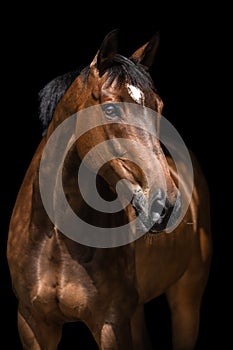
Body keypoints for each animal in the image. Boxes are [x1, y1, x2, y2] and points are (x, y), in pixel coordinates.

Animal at [7, 30, 212, 350]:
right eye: (111, 108)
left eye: (159, 106)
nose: (166, 207)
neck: (55, 237)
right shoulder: (33, 324)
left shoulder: (110, 324)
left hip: (186, 299)